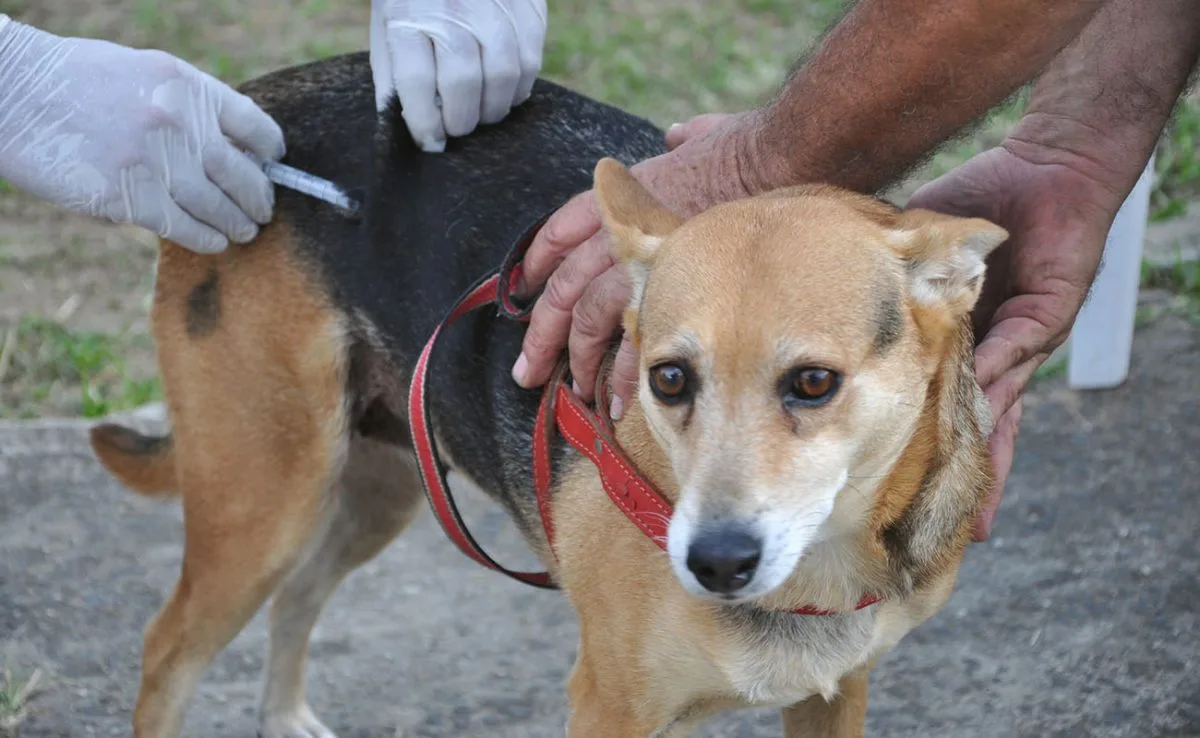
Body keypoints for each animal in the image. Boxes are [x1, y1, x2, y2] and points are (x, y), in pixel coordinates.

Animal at [87, 49, 1003, 734]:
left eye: (814, 383)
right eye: (668, 379)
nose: (712, 562)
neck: (822, 566)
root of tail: (258, 107)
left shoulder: (836, 694)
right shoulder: (606, 708)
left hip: (378, 482)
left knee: (300, 595)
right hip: (267, 497)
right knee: (167, 650)